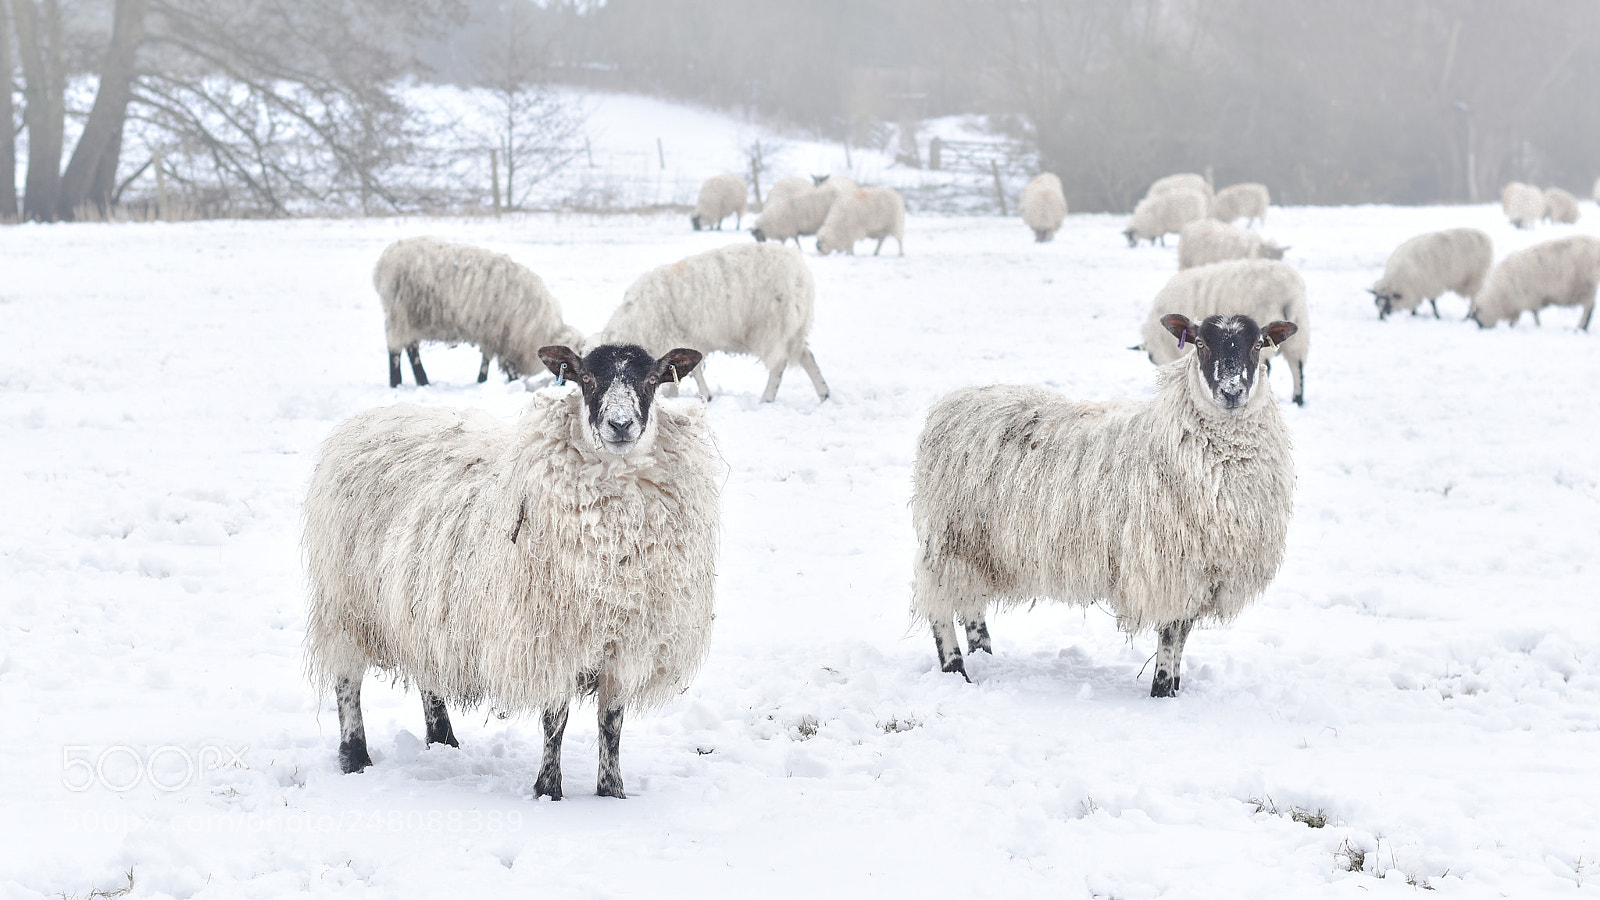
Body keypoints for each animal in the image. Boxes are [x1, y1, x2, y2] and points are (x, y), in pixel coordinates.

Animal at [303, 342, 719, 799]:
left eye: (653, 380)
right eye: (587, 379)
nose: (620, 425)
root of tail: (368, 417)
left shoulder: (624, 645)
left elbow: (612, 723)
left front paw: (612, 792)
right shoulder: (548, 639)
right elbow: (555, 719)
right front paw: (548, 789)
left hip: (423, 603)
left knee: (429, 667)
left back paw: (443, 740)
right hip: (344, 601)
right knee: (347, 680)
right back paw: (355, 756)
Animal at [373, 237, 584, 388]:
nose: (566, 384)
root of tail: (384, 260)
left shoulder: (491, 332)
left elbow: (487, 358)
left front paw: (482, 379)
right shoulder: (503, 333)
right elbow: (504, 362)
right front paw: (512, 380)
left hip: (412, 317)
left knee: (411, 348)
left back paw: (421, 380)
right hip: (398, 313)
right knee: (395, 350)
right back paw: (397, 383)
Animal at [591, 242, 829, 402]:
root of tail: (801, 273)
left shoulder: (679, 337)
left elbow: (688, 372)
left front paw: (697, 395)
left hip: (772, 327)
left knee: (779, 365)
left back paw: (767, 398)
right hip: (794, 330)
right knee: (807, 357)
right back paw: (824, 393)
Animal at [911, 313, 1299, 695]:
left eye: (1258, 344)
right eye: (1200, 343)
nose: (1231, 391)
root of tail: (952, 401)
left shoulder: (1201, 569)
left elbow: (1183, 633)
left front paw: (1175, 684)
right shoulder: (1167, 566)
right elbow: (1171, 633)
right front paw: (1161, 689)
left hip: (979, 546)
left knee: (970, 601)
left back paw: (985, 654)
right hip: (949, 536)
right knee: (940, 604)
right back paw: (956, 668)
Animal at [1468, 234, 1600, 331]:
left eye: (1477, 320)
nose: (1482, 329)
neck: (1498, 297)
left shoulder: (1526, 299)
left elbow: (1532, 314)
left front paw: (1534, 325)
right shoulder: (1524, 301)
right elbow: (1532, 313)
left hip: (1588, 288)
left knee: (1588, 310)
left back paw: (1581, 328)